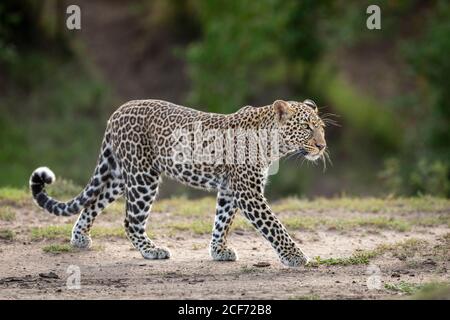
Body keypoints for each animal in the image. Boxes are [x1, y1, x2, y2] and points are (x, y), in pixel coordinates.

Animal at [30, 98, 326, 268]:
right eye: (307, 127)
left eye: (321, 127)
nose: (323, 146)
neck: (272, 142)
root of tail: (116, 113)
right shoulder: (248, 192)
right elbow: (274, 226)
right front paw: (295, 256)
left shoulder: (230, 189)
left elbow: (222, 220)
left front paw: (218, 250)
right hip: (143, 176)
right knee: (130, 220)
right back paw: (152, 251)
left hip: (119, 174)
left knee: (93, 202)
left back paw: (80, 238)